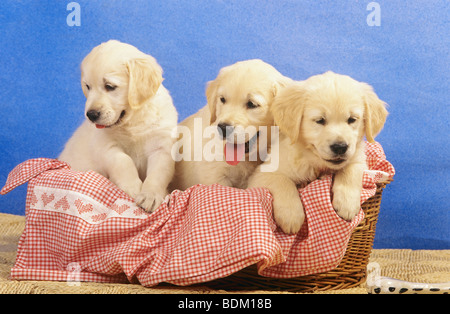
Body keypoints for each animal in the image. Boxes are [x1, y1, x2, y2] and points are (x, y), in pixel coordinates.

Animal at [59, 38, 178, 211]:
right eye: (88, 86)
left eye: (110, 86)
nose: (91, 115)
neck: (133, 121)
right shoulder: (106, 146)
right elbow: (123, 161)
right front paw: (132, 187)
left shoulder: (161, 147)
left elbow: (158, 173)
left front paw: (150, 196)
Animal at [248, 71, 388, 233]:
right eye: (320, 120)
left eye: (352, 119)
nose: (340, 147)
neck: (314, 161)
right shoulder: (261, 174)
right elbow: (283, 181)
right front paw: (291, 216)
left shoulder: (359, 159)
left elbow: (350, 170)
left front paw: (347, 204)